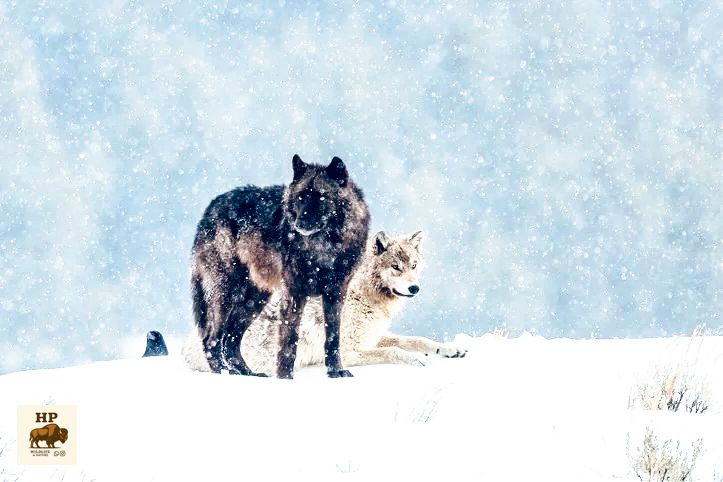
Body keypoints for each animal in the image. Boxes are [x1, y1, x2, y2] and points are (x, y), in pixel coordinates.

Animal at [183, 230, 467, 374]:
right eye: (396, 267)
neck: (362, 294)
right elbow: (395, 351)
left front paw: (449, 349)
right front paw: (419, 361)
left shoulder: (373, 337)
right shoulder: (350, 351)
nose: (414, 288)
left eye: (414, 265)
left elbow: (416, 340)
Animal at [191, 154, 369, 379]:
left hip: (255, 299)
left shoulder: (336, 293)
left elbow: (333, 337)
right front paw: (285, 377)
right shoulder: (294, 292)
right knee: (212, 339)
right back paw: (222, 374)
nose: (299, 224)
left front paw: (336, 372)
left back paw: (246, 373)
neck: (324, 249)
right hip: (225, 293)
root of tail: (211, 207)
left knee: (230, 339)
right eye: (301, 198)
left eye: (321, 197)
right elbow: (289, 338)